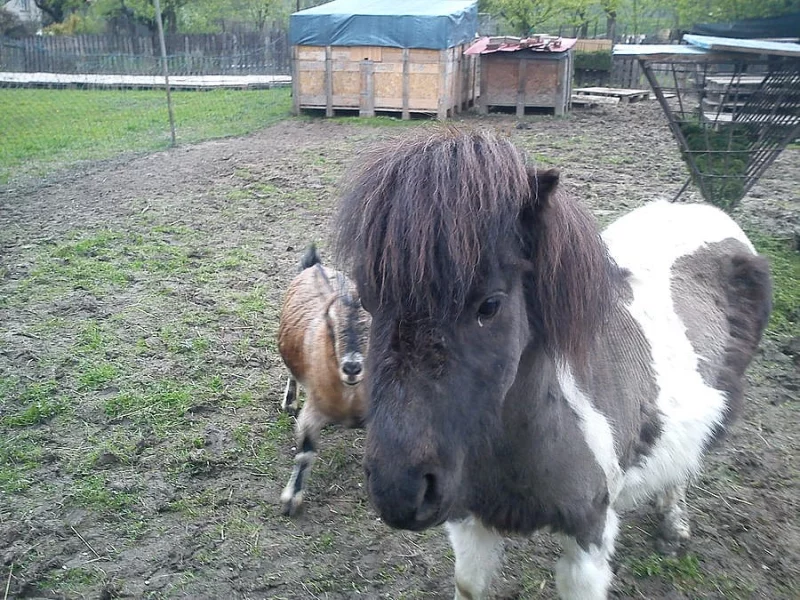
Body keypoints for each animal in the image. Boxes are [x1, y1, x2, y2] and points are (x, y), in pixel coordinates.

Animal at [332, 128, 772, 599]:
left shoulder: (587, 541)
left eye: (490, 305)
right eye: (366, 299)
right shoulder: (469, 525)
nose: (399, 491)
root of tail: (710, 215)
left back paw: (674, 527)